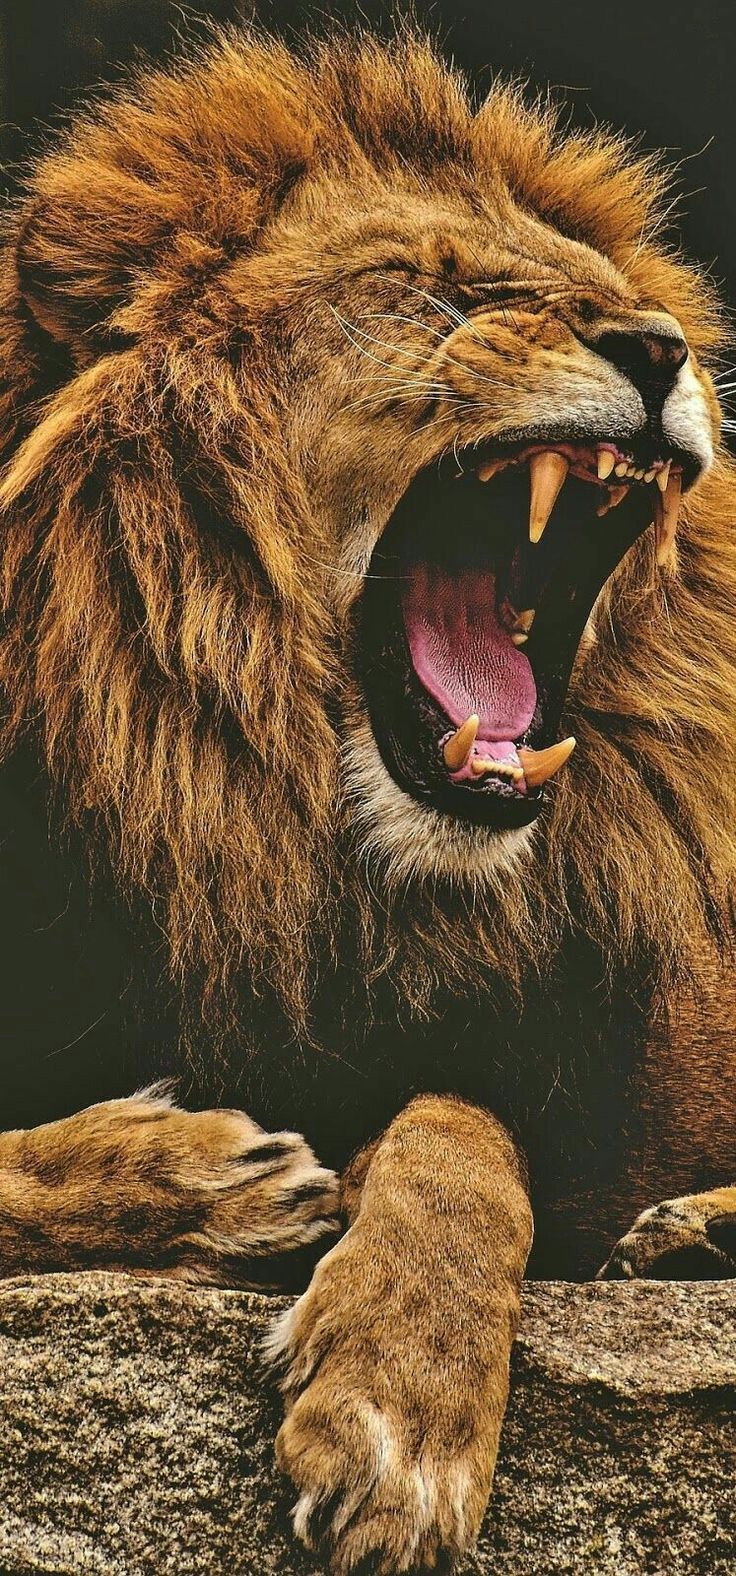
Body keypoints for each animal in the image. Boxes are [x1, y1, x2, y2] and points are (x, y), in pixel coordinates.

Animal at [0, 25, 735, 1573]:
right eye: (431, 285)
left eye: (616, 300)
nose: (660, 348)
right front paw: (195, 1178)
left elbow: (459, 1125)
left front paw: (398, 1410)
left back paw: (692, 1232)